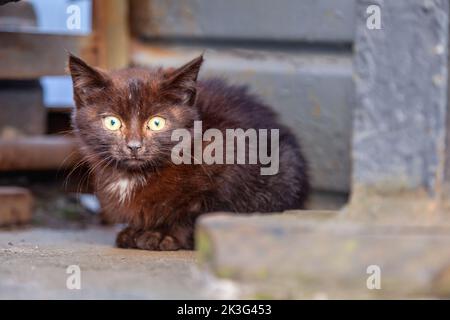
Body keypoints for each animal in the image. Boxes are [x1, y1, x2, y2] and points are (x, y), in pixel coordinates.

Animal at [68, 54, 310, 250]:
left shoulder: (233, 165)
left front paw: (164, 234)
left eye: (156, 122)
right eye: (112, 122)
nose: (134, 146)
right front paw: (135, 230)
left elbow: (201, 212)